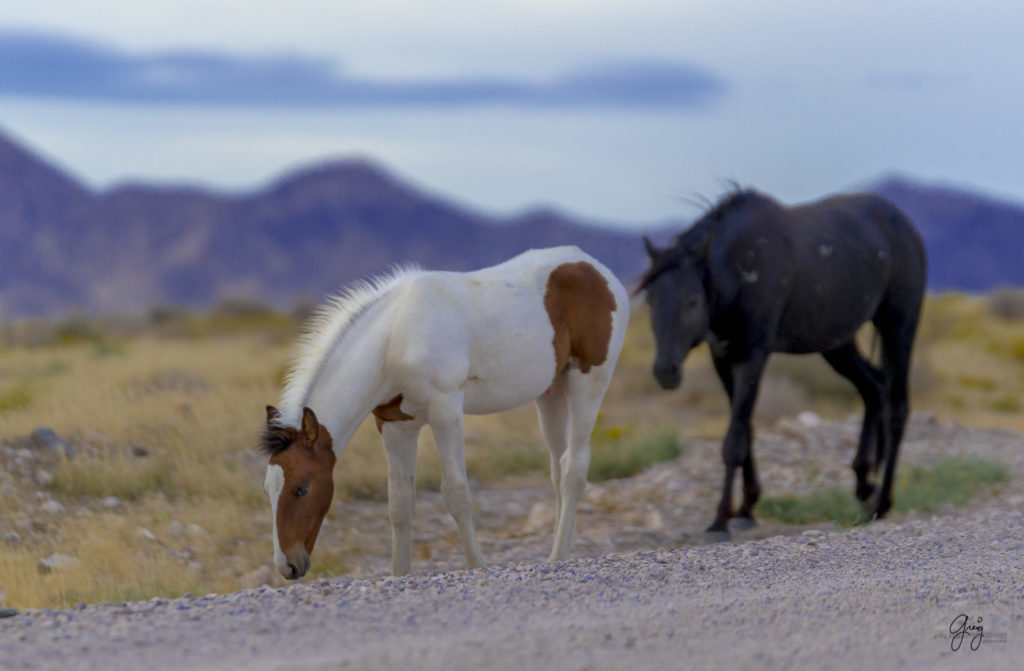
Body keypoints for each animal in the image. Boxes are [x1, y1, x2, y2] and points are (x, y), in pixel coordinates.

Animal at [260, 246, 626, 577]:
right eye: (268, 489)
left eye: (302, 488)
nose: (288, 566)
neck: (395, 339)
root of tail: (596, 269)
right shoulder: (395, 426)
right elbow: (399, 503)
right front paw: (400, 573)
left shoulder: (445, 411)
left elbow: (456, 491)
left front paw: (476, 565)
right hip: (551, 394)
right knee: (557, 468)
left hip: (588, 385)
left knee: (573, 469)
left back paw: (558, 556)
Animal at [643, 187, 933, 540]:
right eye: (651, 299)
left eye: (692, 300)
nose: (665, 371)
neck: (742, 266)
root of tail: (906, 226)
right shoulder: (722, 358)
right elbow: (745, 429)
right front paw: (746, 509)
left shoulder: (754, 356)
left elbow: (734, 439)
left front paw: (720, 520)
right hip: (838, 344)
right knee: (874, 388)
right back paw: (865, 485)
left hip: (898, 327)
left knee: (897, 407)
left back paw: (882, 502)